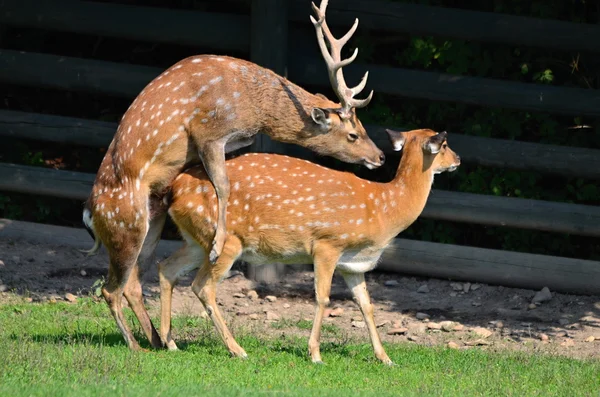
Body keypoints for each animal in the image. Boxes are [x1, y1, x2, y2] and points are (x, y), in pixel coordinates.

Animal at [79, 0, 384, 350]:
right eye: (352, 135)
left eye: (363, 128)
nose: (380, 156)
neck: (253, 106)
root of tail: (89, 214)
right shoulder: (209, 131)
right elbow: (222, 185)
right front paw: (216, 245)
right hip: (124, 226)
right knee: (109, 288)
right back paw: (135, 344)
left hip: (151, 220)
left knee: (133, 284)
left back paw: (159, 340)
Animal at [158, 128, 460, 364]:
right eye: (444, 143)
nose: (457, 159)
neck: (382, 209)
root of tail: (174, 190)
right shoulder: (327, 244)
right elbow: (322, 297)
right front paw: (315, 354)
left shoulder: (353, 264)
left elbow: (367, 304)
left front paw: (385, 357)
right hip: (225, 240)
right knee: (202, 286)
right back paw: (237, 349)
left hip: (196, 241)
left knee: (166, 268)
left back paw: (169, 342)